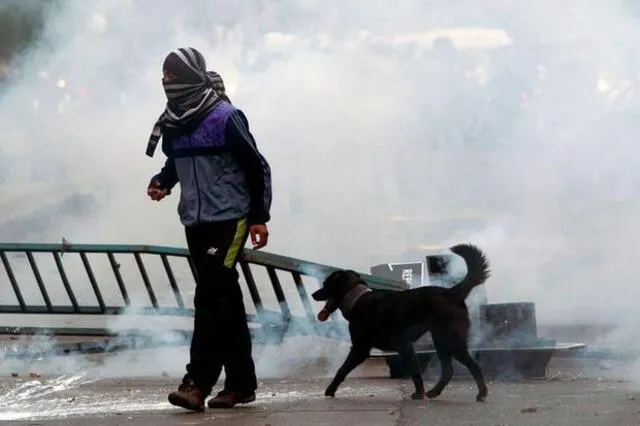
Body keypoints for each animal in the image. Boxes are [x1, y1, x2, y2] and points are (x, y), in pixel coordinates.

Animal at [312, 243, 492, 402]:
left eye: (325, 284)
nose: (314, 294)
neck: (356, 297)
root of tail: (452, 292)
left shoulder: (362, 348)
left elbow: (342, 369)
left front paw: (330, 390)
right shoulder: (403, 347)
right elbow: (414, 370)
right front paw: (420, 392)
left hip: (450, 340)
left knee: (473, 366)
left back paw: (482, 394)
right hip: (440, 340)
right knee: (448, 370)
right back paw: (435, 392)